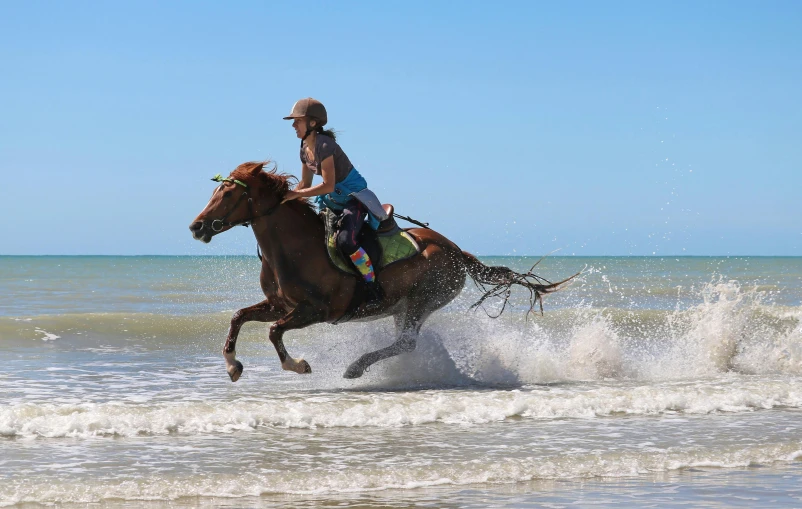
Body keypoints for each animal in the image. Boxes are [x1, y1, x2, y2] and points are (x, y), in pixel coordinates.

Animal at [191, 161, 572, 380]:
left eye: (228, 194)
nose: (196, 227)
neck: (295, 248)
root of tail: (455, 251)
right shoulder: (280, 305)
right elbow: (239, 317)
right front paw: (233, 366)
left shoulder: (316, 311)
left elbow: (273, 332)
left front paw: (298, 365)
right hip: (402, 306)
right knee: (403, 341)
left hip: (423, 301)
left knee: (406, 343)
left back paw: (355, 367)